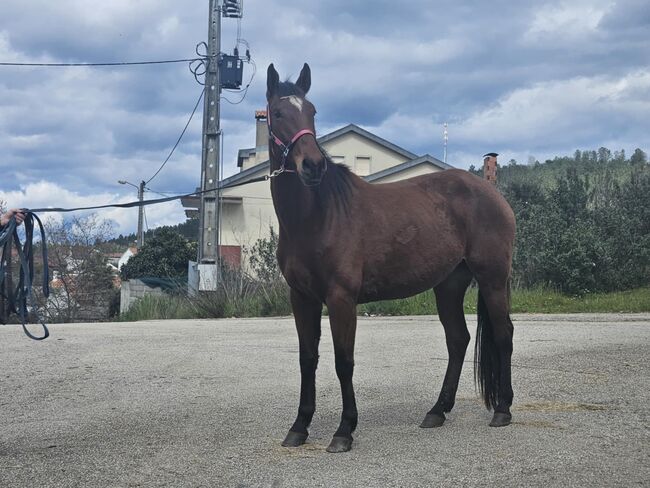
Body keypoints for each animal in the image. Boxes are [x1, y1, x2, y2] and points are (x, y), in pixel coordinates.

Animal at [266, 63, 512, 452]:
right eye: (277, 113)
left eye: (312, 112)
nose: (313, 166)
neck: (317, 216)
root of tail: (492, 193)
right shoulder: (301, 298)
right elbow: (308, 359)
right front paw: (299, 427)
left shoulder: (341, 299)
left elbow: (343, 361)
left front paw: (344, 430)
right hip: (449, 285)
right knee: (458, 340)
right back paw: (437, 411)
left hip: (492, 279)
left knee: (503, 335)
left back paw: (502, 410)